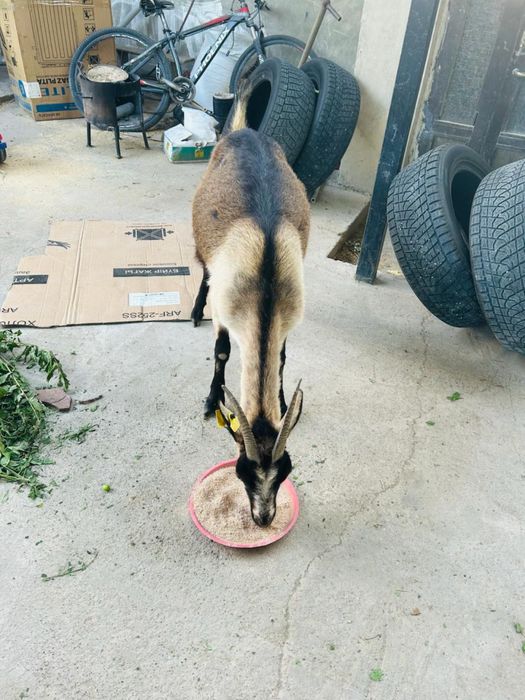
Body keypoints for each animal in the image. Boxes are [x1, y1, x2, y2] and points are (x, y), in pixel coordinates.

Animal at [191, 107, 310, 527]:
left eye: (286, 469)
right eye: (241, 470)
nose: (263, 517)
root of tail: (243, 130)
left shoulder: (288, 320)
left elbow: (283, 357)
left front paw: (282, 397)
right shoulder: (225, 312)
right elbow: (223, 351)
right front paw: (212, 399)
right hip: (202, 242)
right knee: (203, 271)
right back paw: (194, 309)